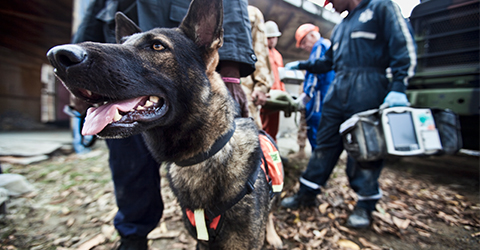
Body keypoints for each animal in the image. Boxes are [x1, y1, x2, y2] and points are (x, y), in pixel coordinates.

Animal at [46, 0, 282, 249]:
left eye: (157, 46)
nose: (57, 56)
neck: (203, 155)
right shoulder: (201, 240)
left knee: (271, 212)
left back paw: (273, 236)